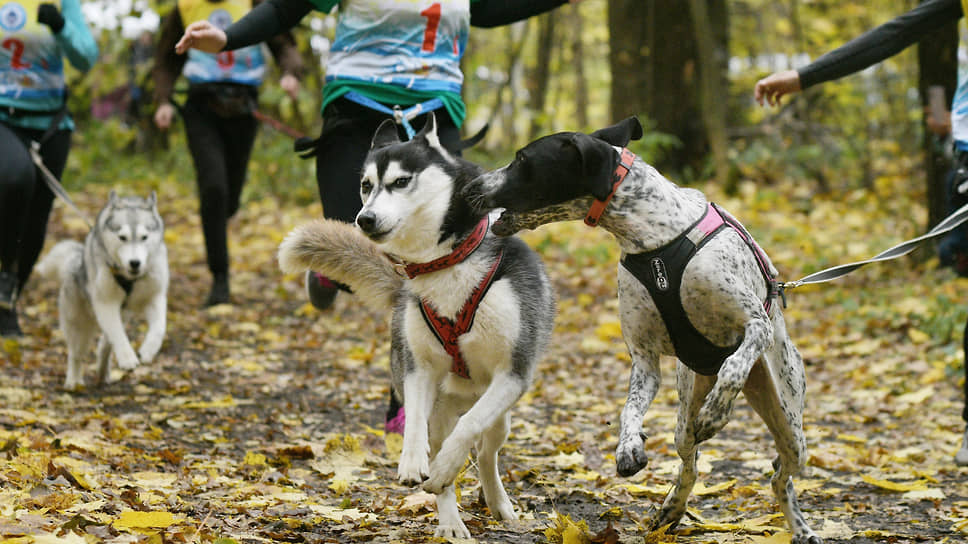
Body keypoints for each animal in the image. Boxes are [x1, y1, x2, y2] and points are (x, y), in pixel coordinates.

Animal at [466, 119, 820, 544]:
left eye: (522, 159)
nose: (471, 186)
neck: (655, 237)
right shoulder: (645, 360)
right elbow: (629, 410)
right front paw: (628, 447)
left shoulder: (756, 324)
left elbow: (734, 366)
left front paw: (717, 412)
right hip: (687, 411)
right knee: (692, 461)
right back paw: (672, 508)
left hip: (791, 425)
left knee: (779, 474)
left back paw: (800, 527)